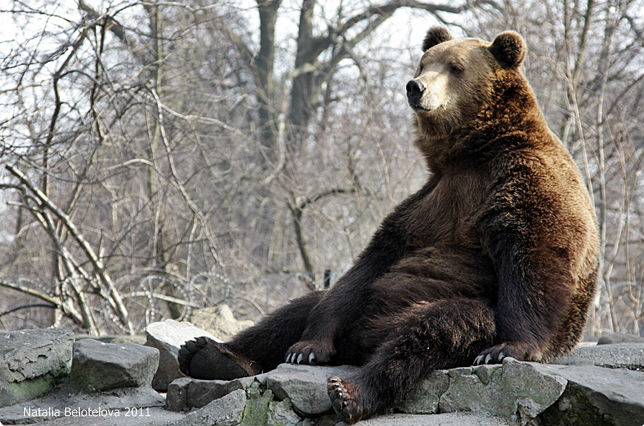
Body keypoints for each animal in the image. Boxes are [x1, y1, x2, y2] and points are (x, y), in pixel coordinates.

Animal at [177, 27, 600, 422]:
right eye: (424, 62)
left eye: (455, 67)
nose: (415, 86)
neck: (473, 152)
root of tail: (361, 342)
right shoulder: (428, 202)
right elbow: (373, 259)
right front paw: (308, 346)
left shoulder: (522, 181)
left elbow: (535, 257)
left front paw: (507, 349)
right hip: (356, 312)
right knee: (299, 309)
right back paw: (211, 353)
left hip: (456, 310)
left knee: (431, 329)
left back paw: (349, 391)